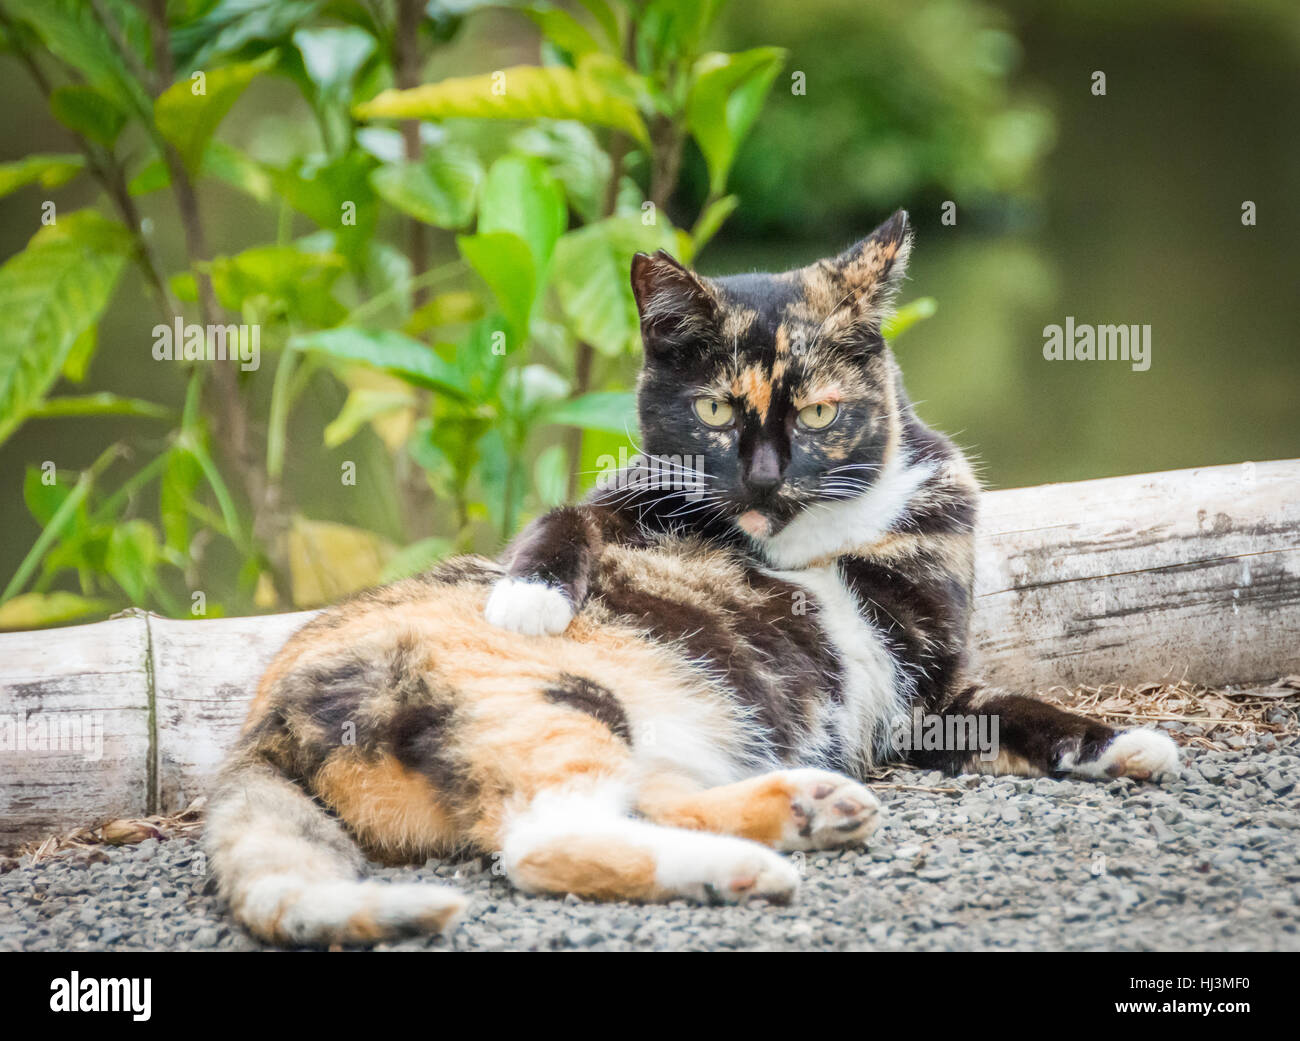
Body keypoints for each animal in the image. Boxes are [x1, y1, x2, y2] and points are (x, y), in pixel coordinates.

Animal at [205, 210, 1180, 940]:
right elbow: (567, 521)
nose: (764, 478)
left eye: (819, 412)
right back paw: (745, 868)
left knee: (649, 795)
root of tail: (259, 722)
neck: (805, 544)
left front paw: (1123, 744)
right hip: (555, 700)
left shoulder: (928, 689)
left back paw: (808, 807)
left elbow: (1019, 708)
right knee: (547, 842)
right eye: (714, 410)